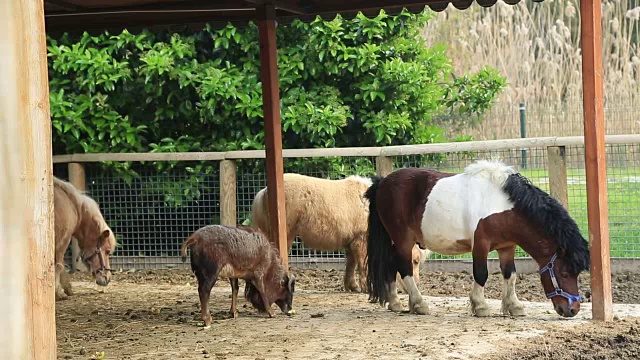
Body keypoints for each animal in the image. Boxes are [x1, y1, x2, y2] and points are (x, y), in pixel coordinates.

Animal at [252, 173, 428, 294]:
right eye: (415, 260)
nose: (416, 285)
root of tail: (264, 191)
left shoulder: (351, 242)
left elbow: (351, 264)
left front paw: (352, 286)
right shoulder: (361, 241)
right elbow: (362, 265)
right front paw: (365, 288)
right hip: (286, 235)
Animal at [364, 160, 592, 318]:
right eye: (564, 273)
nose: (572, 310)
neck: (504, 206)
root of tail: (382, 182)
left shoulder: (507, 247)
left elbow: (510, 275)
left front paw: (513, 306)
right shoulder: (480, 245)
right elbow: (481, 274)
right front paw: (480, 306)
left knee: (391, 264)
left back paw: (396, 303)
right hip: (402, 238)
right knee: (404, 268)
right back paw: (419, 304)